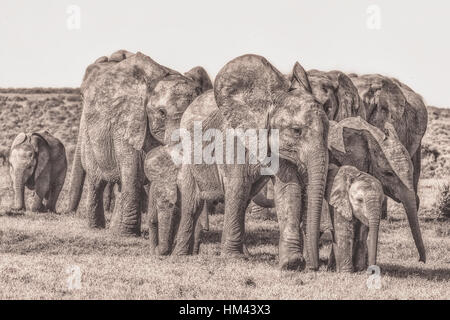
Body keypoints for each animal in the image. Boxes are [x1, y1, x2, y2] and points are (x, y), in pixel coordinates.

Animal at [65, 50, 213, 235]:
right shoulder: (127, 122)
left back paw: (114, 231)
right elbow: (132, 171)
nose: (205, 231)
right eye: (161, 113)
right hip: (89, 134)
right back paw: (97, 228)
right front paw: (128, 235)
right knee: (96, 180)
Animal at [171, 55, 328, 270]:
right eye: (296, 131)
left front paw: (292, 264)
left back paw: (247, 254)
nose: (314, 266)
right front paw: (232, 259)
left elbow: (288, 189)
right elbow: (238, 186)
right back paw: (180, 256)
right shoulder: (234, 141)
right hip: (188, 156)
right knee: (192, 202)